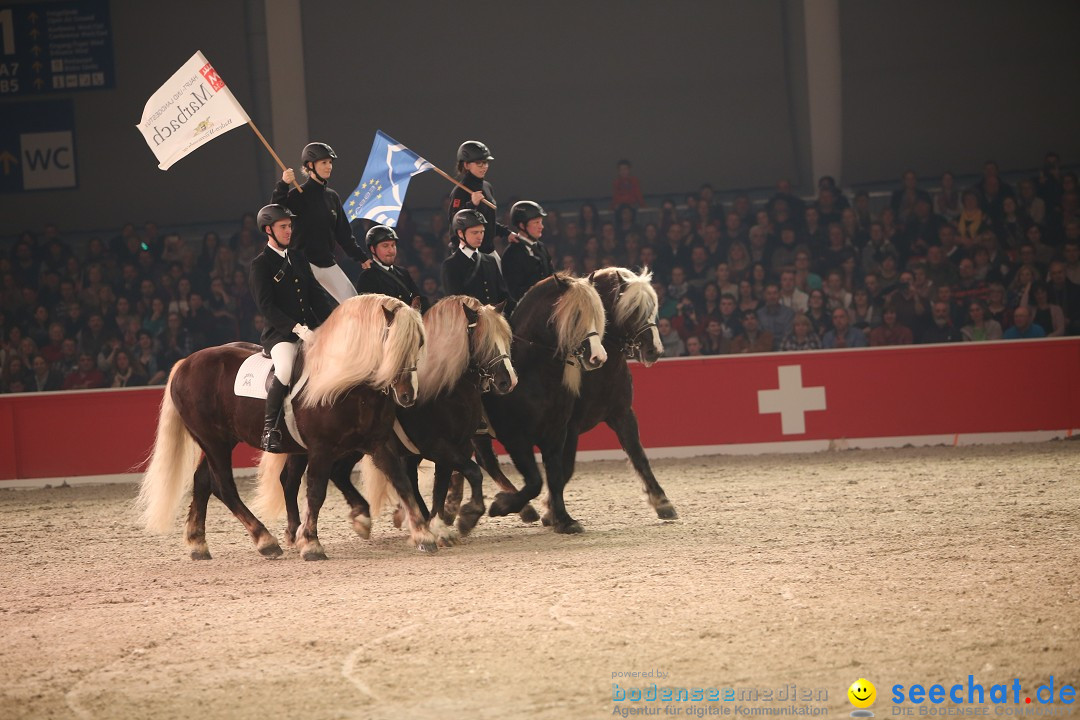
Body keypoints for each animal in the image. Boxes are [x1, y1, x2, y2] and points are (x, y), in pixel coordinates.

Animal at [137, 293, 432, 561]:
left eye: (420, 342)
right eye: (390, 343)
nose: (407, 396)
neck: (348, 383)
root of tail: (184, 363)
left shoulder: (378, 442)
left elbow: (402, 481)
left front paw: (423, 535)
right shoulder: (321, 449)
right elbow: (316, 491)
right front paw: (311, 544)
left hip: (221, 440)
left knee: (202, 481)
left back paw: (198, 543)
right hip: (213, 441)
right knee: (224, 486)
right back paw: (265, 540)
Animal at [257, 295, 518, 548]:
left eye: (506, 339)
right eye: (483, 340)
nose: (508, 381)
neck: (446, 389)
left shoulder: (455, 446)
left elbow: (443, 484)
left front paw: (438, 525)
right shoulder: (437, 446)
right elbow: (472, 472)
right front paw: (465, 517)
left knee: (334, 474)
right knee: (299, 479)